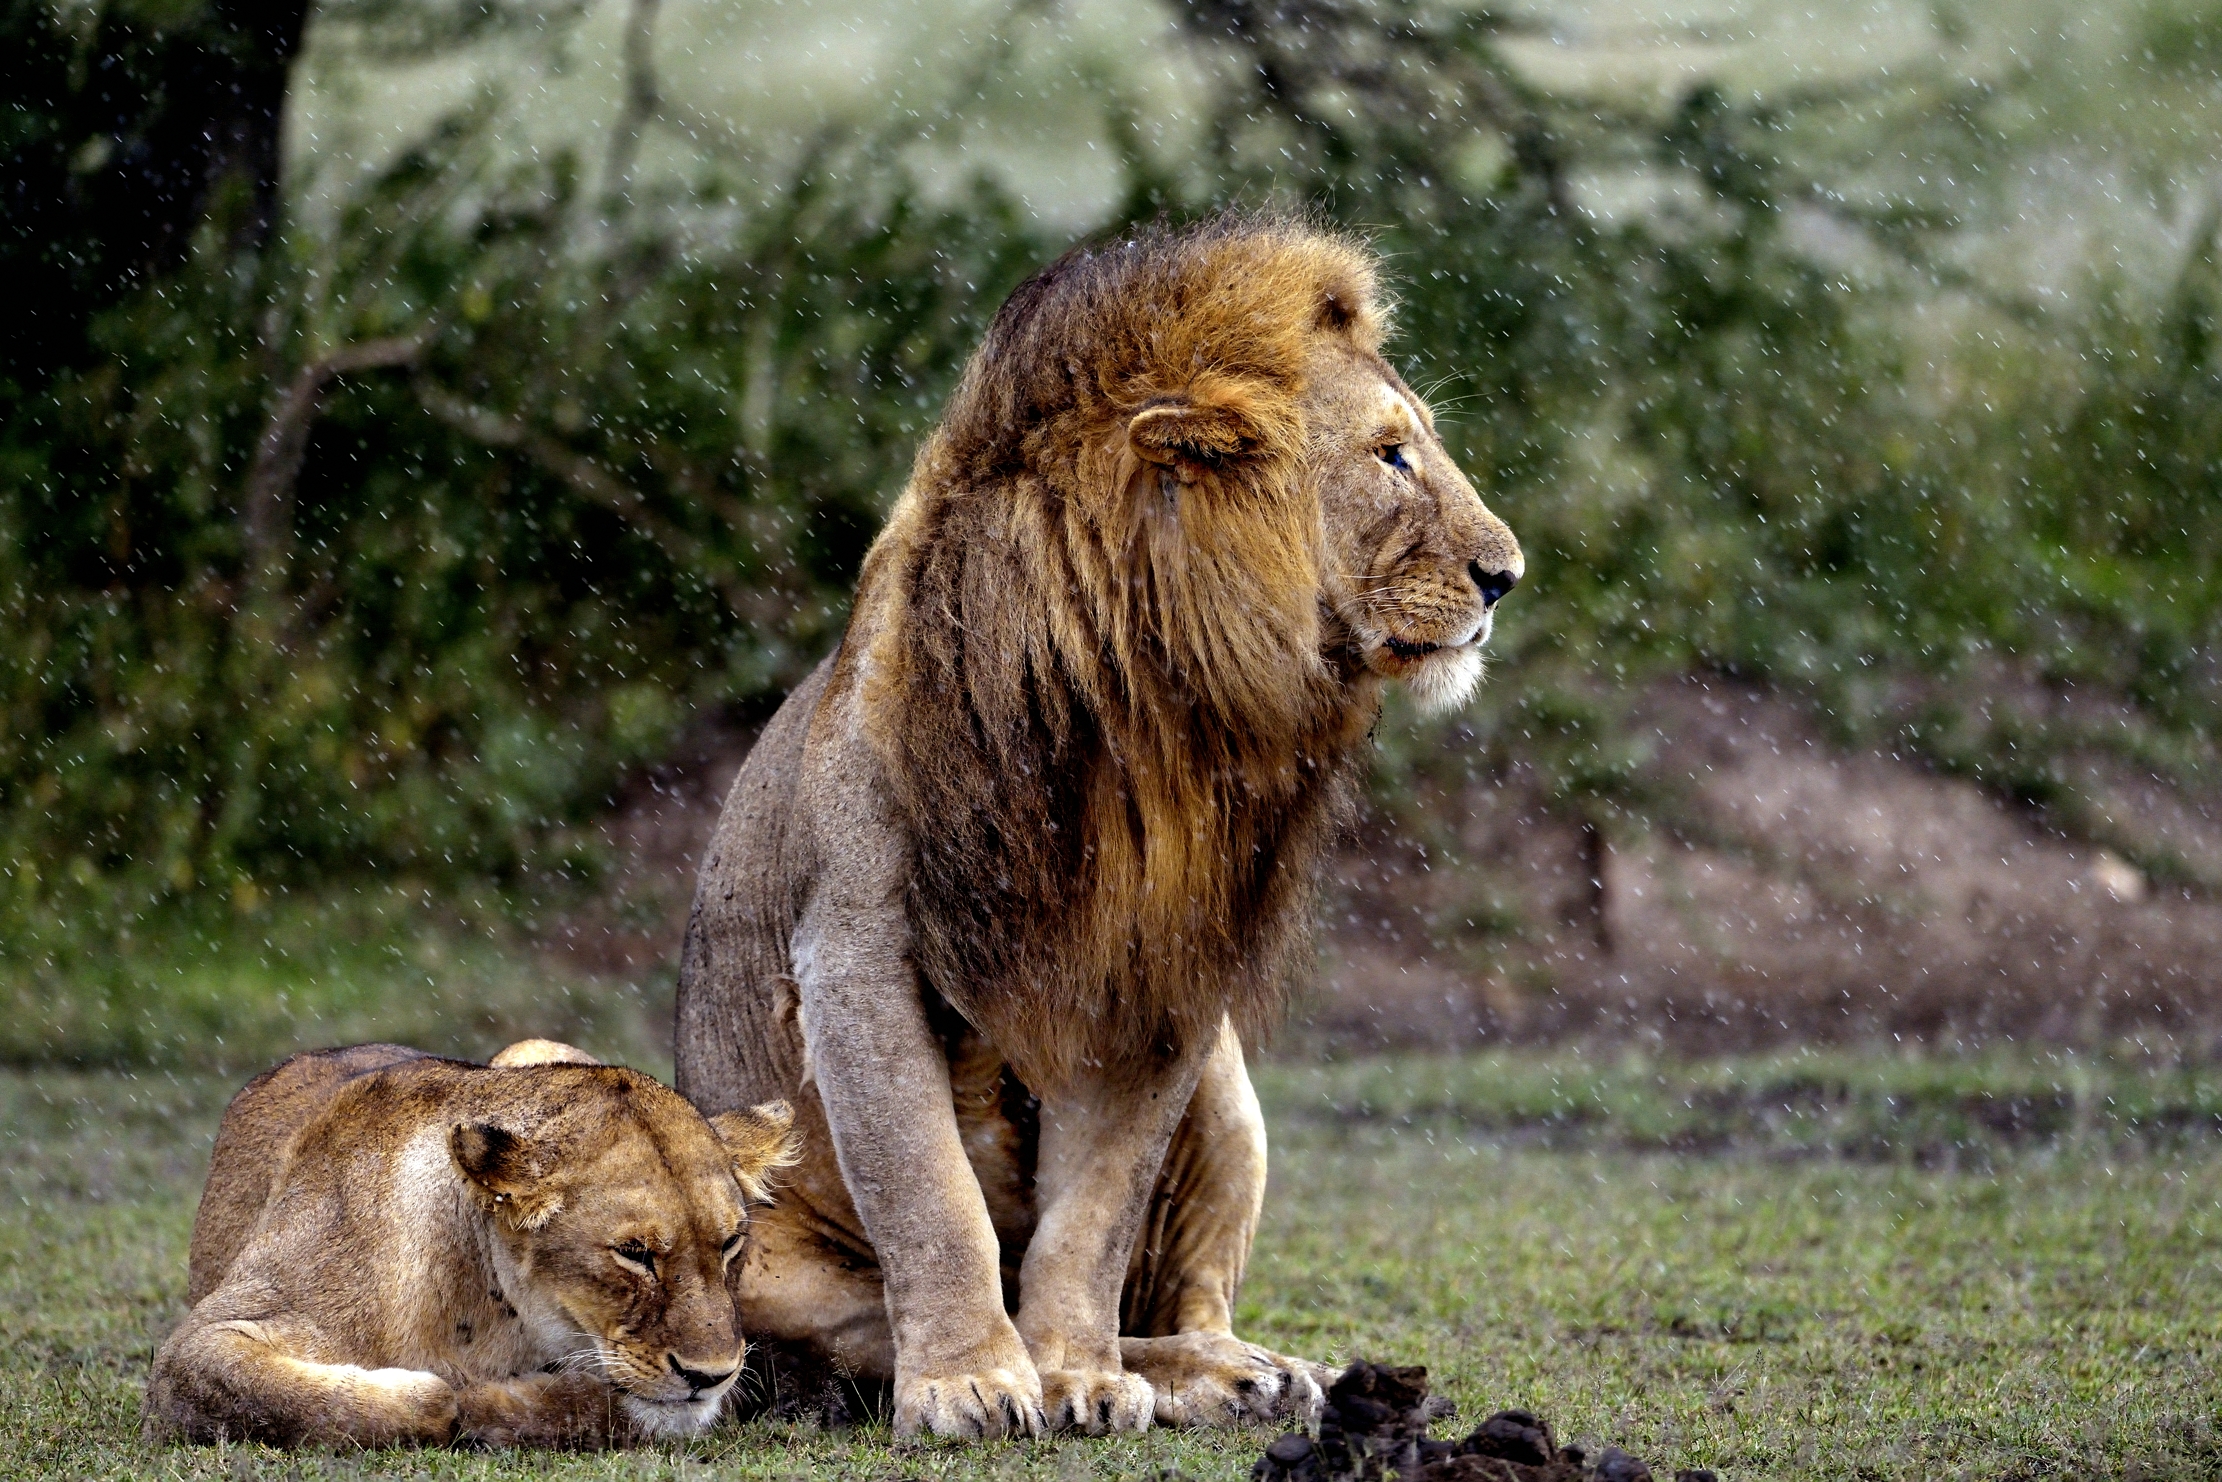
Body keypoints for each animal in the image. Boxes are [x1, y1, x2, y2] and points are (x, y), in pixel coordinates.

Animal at [144, 1039, 797, 1448]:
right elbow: (340, 1400)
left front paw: (493, 1403)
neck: (495, 1317)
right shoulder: (195, 1348)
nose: (711, 1375)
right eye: (633, 1253)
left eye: (730, 1244)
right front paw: (448, 1395)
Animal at [674, 214, 1522, 1439]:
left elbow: (1092, 1218)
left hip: (1232, 1099)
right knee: (848, 1325)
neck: (1140, 713)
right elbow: (929, 1193)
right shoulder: (853, 955)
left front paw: (1074, 1374)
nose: (1507, 576)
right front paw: (973, 1381)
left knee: (1182, 1294)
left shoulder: (1152, 976)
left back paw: (1241, 1372)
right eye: (1390, 456)